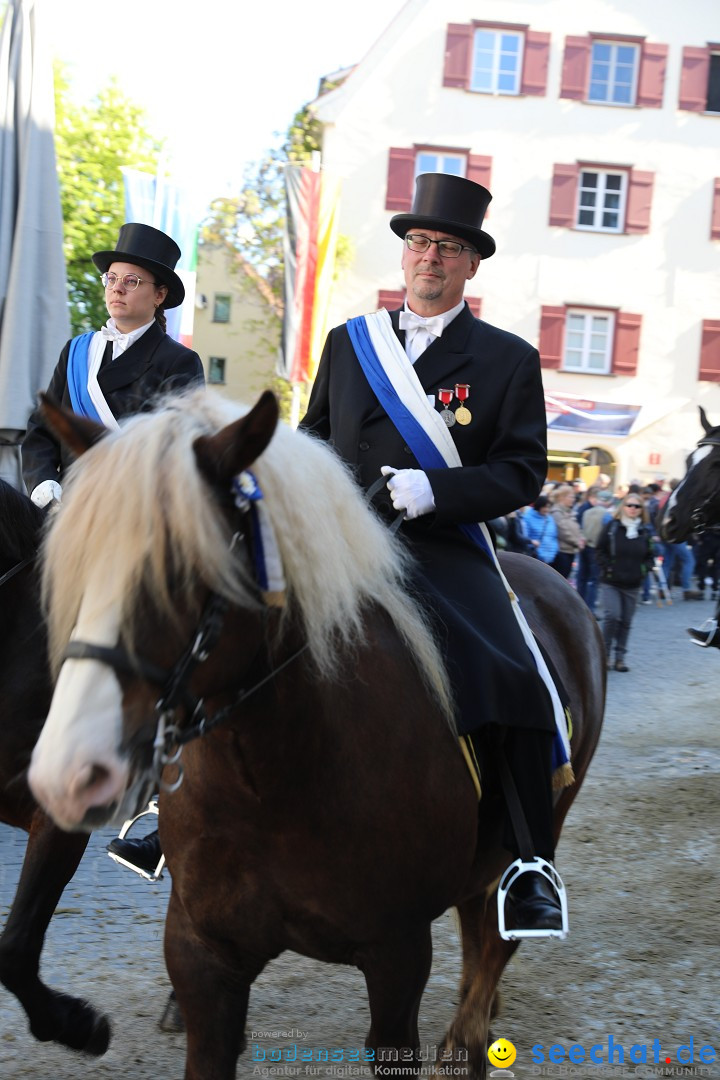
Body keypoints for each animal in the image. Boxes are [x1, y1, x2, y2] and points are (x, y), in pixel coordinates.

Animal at [28, 390, 604, 1080]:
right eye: (74, 561)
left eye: (182, 569)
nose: (67, 773)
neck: (270, 780)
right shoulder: (202, 956)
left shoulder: (397, 957)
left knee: (490, 949)